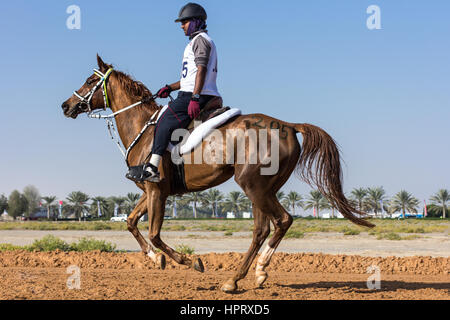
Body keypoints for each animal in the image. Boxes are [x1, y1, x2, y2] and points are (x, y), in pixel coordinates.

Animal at [60, 55, 376, 292]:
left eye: (91, 81)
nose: (66, 105)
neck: (144, 128)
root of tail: (288, 125)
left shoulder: (157, 191)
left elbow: (155, 234)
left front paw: (188, 261)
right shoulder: (149, 191)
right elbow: (130, 222)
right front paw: (154, 259)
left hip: (252, 185)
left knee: (279, 221)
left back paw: (242, 277)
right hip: (263, 188)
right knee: (264, 228)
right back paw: (252, 275)